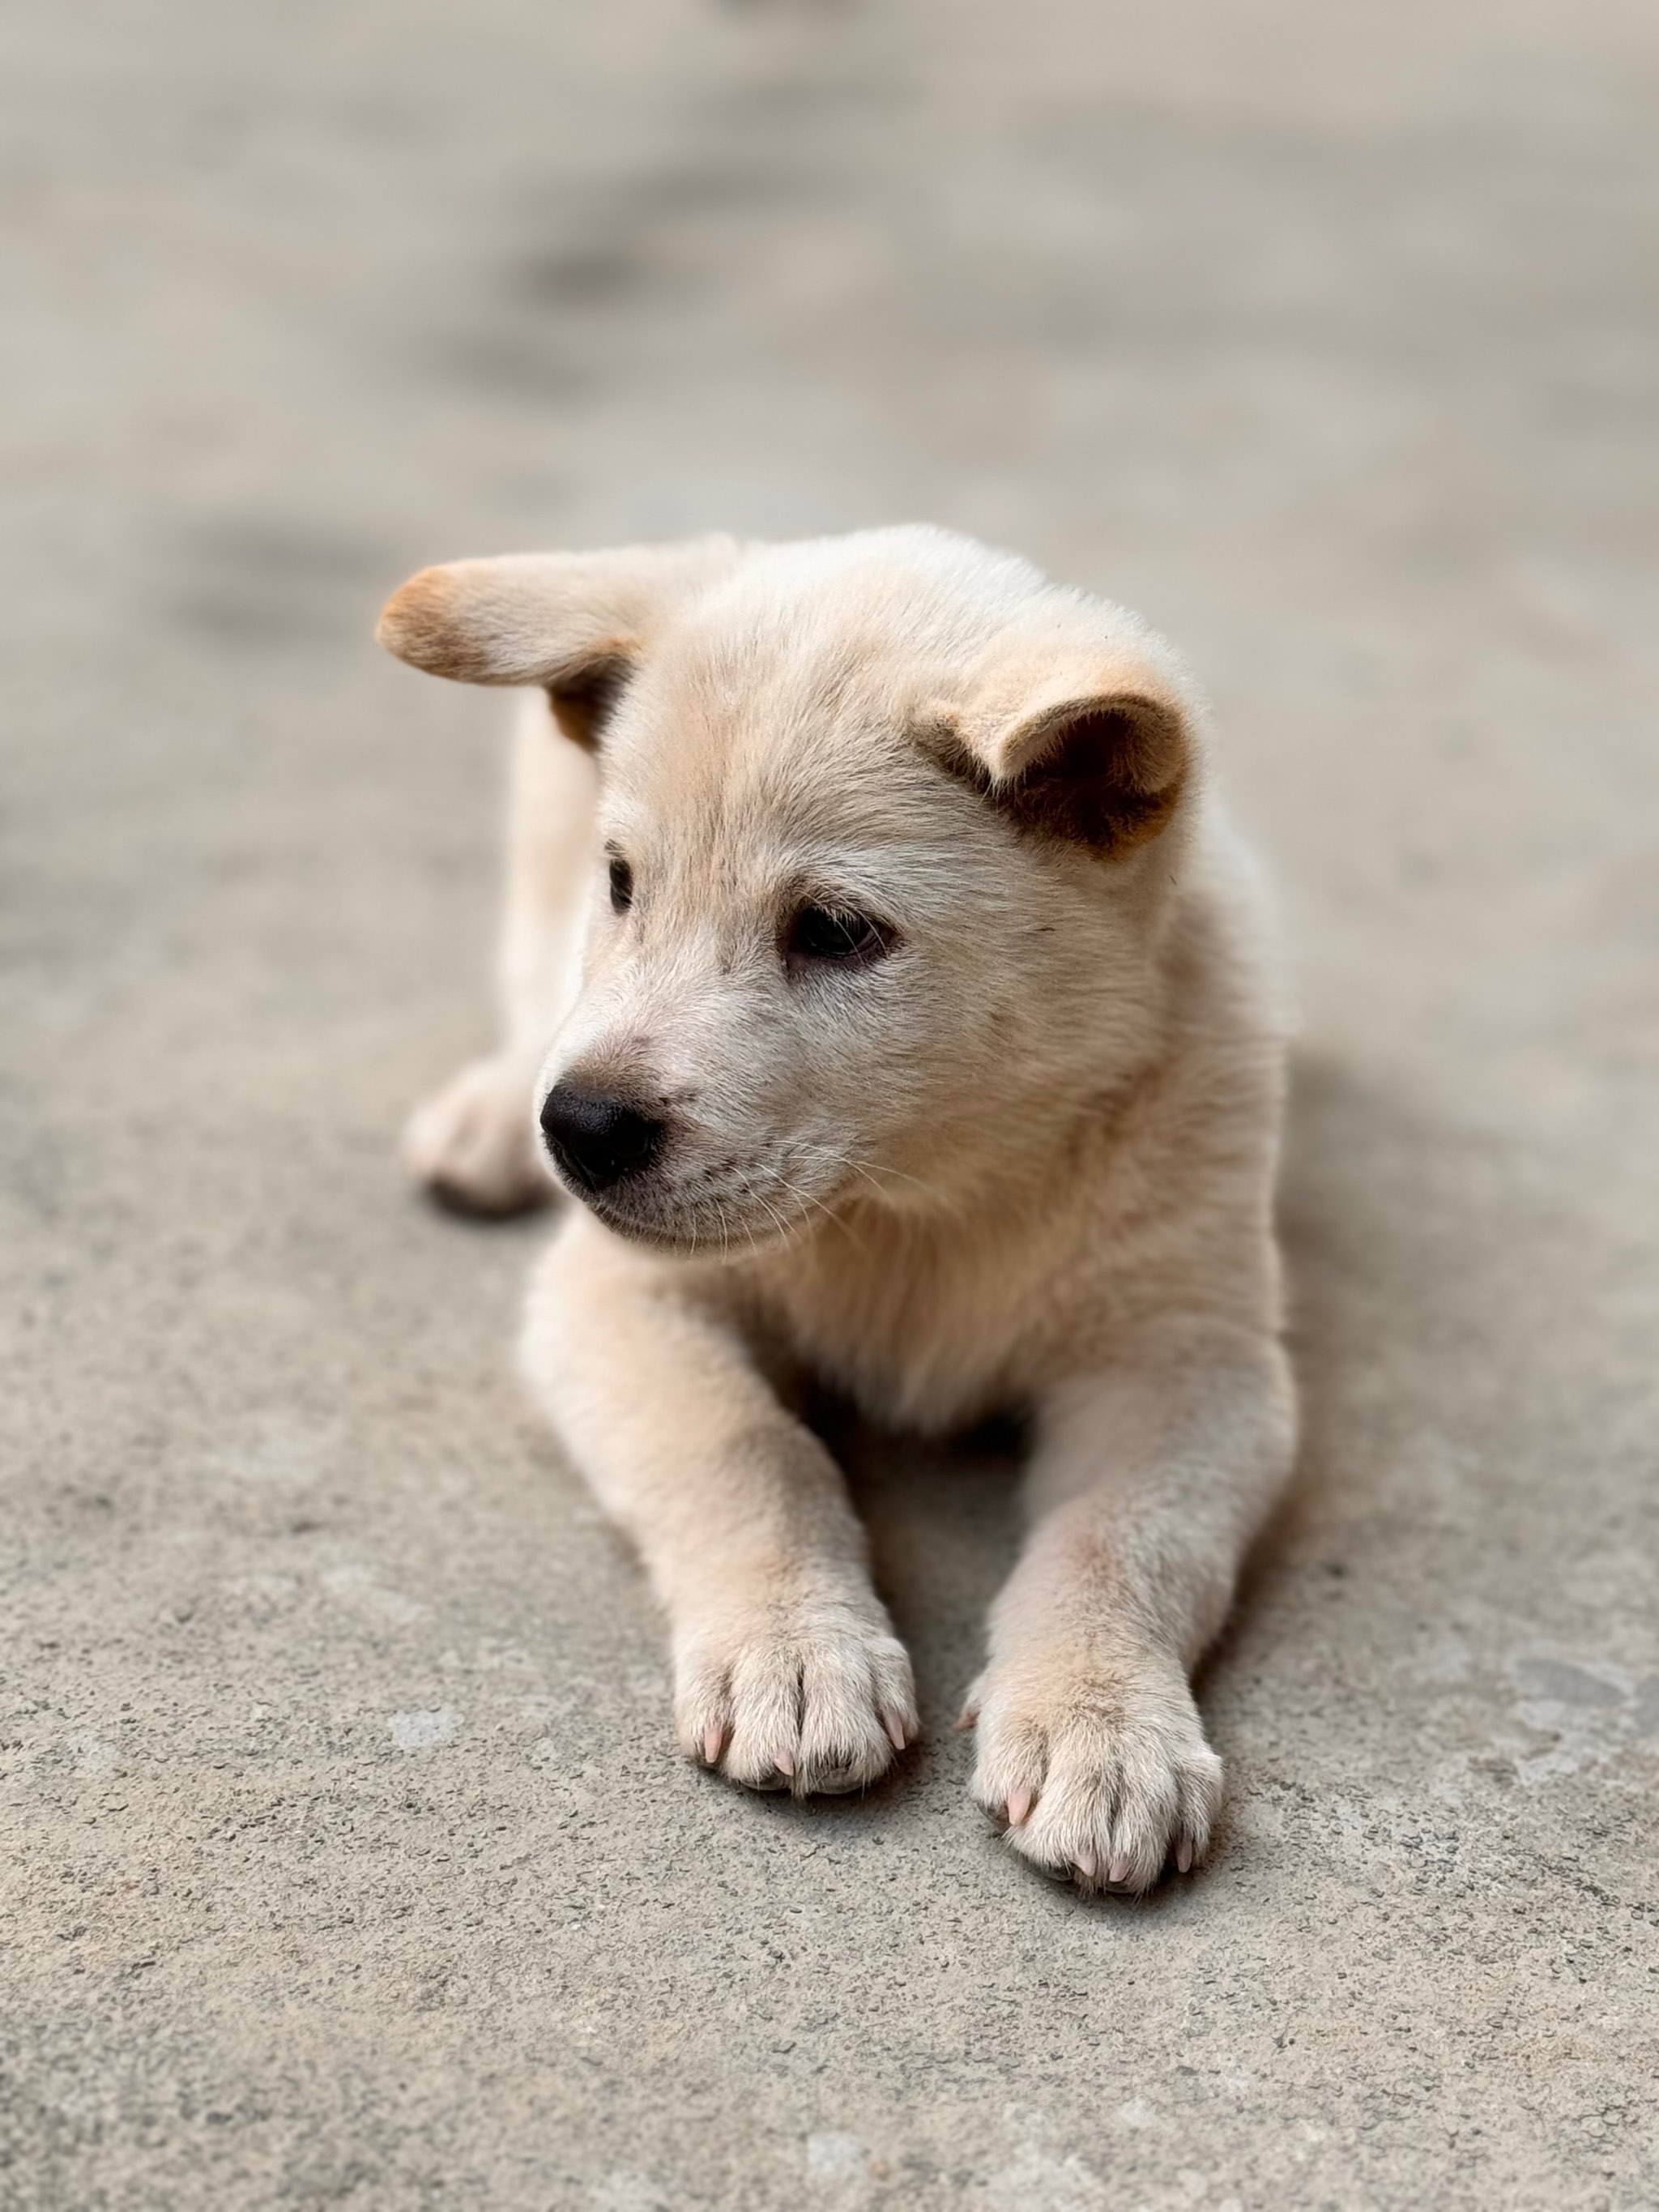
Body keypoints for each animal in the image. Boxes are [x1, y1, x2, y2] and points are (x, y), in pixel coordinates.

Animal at [380, 526, 1300, 1893]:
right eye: (625, 883)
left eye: (833, 930)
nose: (581, 1129)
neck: (920, 1200)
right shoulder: (621, 1290)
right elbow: (747, 1448)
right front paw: (795, 1650)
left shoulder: (1191, 1356)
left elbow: (1124, 1534)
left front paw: (1098, 1723)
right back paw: (491, 1116)